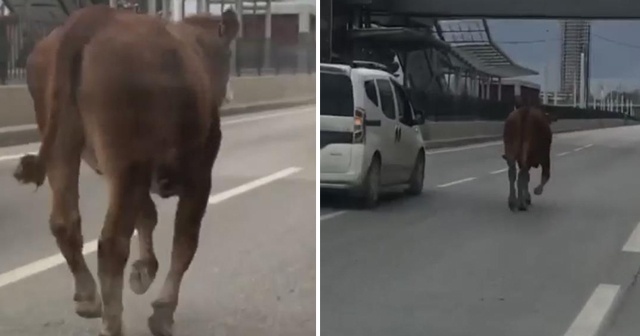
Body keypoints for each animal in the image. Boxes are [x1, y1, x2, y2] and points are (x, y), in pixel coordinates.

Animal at [14, 5, 240, 336]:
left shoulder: (130, 174)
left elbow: (148, 217)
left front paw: (143, 272)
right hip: (127, 159)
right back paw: (112, 322)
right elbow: (185, 241)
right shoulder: (199, 176)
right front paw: (162, 311)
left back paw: (88, 298)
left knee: (65, 222)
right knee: (111, 243)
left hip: (66, 147)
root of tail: (94, 18)